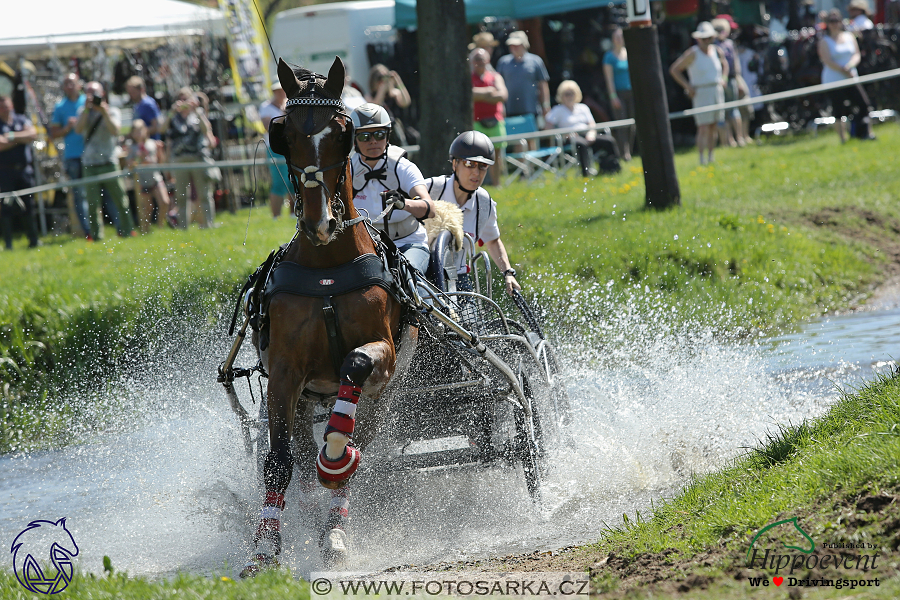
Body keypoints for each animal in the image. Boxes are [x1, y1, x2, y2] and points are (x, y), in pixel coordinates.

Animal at [243, 57, 418, 576]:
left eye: (341, 132)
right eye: (283, 133)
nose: (318, 220)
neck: (326, 266)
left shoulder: (383, 356)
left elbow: (354, 370)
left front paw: (335, 459)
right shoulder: (284, 372)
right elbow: (279, 461)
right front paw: (265, 547)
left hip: (381, 399)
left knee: (358, 439)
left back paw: (334, 528)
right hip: (302, 400)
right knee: (298, 454)